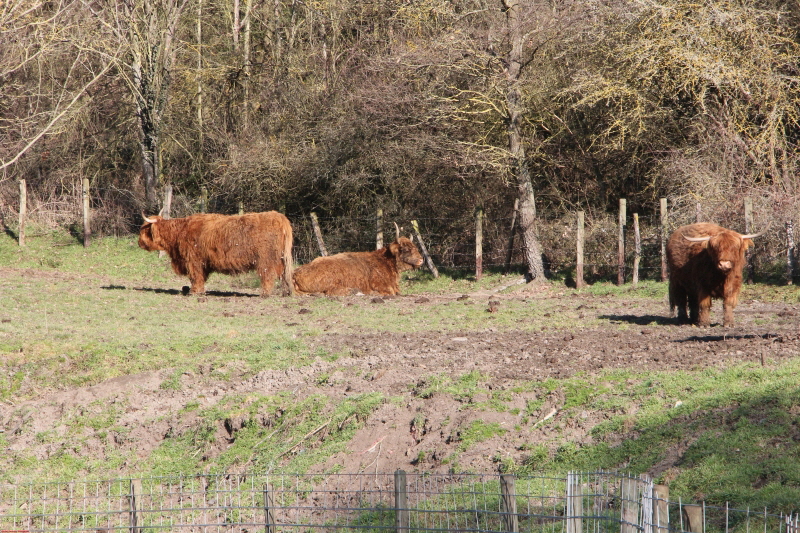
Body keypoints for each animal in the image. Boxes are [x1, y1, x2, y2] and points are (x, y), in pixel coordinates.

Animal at [138, 211, 294, 296]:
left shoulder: (193, 260)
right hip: (281, 260)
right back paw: (286, 293)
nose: (139, 243)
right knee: (283, 276)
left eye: (143, 229)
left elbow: (195, 276)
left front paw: (194, 291)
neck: (179, 232)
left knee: (268, 276)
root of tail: (279, 217)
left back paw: (265, 294)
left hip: (266, 260)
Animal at [294, 225, 424, 296]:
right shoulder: (382, 286)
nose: (421, 260)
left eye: (416, 248)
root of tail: (295, 273)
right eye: (405, 249)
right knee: (330, 292)